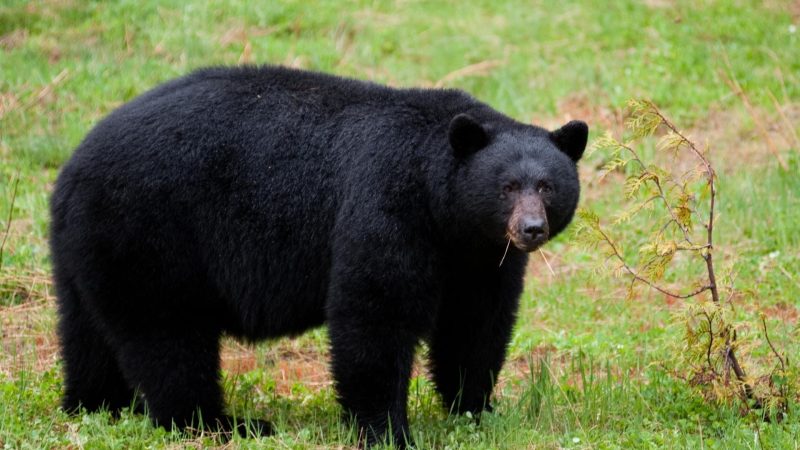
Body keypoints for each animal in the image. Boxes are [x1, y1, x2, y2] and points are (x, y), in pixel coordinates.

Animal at [50, 65, 588, 448]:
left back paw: (96, 405)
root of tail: (72, 167)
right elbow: (374, 313)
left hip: (90, 248)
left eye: (547, 185)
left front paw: (478, 411)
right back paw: (223, 423)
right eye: (507, 187)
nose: (530, 229)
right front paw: (388, 431)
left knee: (88, 332)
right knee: (168, 339)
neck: (442, 209)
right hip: (152, 232)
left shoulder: (477, 256)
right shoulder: (387, 206)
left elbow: (475, 324)